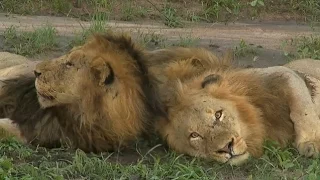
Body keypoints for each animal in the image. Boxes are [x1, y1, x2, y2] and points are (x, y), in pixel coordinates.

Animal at [156, 55, 320, 166]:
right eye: (194, 135)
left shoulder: (282, 73)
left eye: (218, 115)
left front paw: (311, 143)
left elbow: (303, 106)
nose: (226, 148)